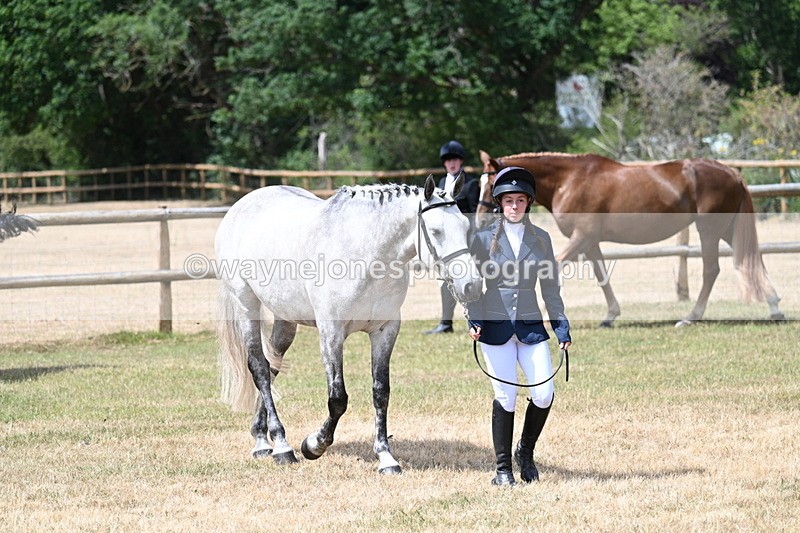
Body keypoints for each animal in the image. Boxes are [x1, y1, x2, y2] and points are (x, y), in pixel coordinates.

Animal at [215, 174, 481, 474]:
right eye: (435, 231)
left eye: (465, 227)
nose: (471, 286)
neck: (365, 254)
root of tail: (242, 205)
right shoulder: (331, 333)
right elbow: (338, 399)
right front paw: (313, 445)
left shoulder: (385, 331)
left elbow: (381, 392)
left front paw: (386, 458)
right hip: (246, 305)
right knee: (259, 368)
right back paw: (280, 446)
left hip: (286, 319)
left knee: (272, 368)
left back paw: (262, 436)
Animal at [478, 150, 784, 327]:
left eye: (492, 184)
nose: (480, 218)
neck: (570, 180)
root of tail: (731, 172)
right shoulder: (590, 241)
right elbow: (602, 275)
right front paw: (610, 316)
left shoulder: (581, 236)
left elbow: (549, 266)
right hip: (727, 229)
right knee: (753, 260)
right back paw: (775, 307)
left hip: (709, 230)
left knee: (712, 270)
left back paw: (690, 317)